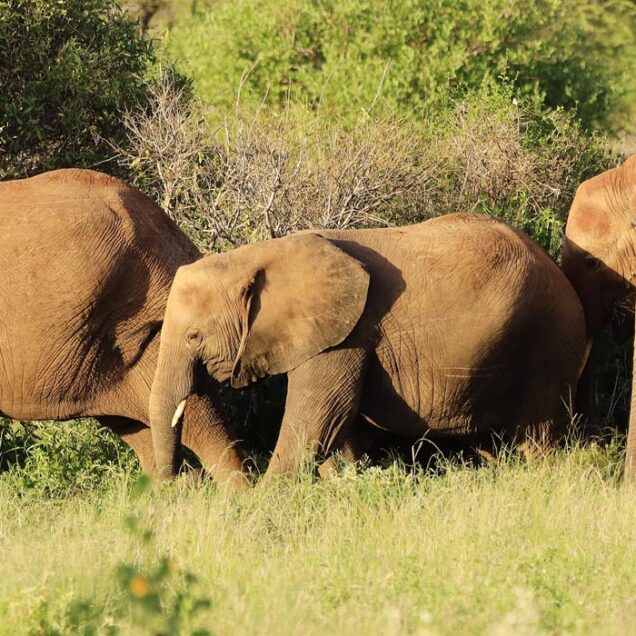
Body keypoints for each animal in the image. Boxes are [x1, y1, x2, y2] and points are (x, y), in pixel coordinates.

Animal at [150, 211, 588, 480]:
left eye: (193, 336)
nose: (178, 483)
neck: (255, 256)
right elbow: (340, 430)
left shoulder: (347, 334)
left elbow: (316, 421)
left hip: (548, 343)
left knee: (540, 440)